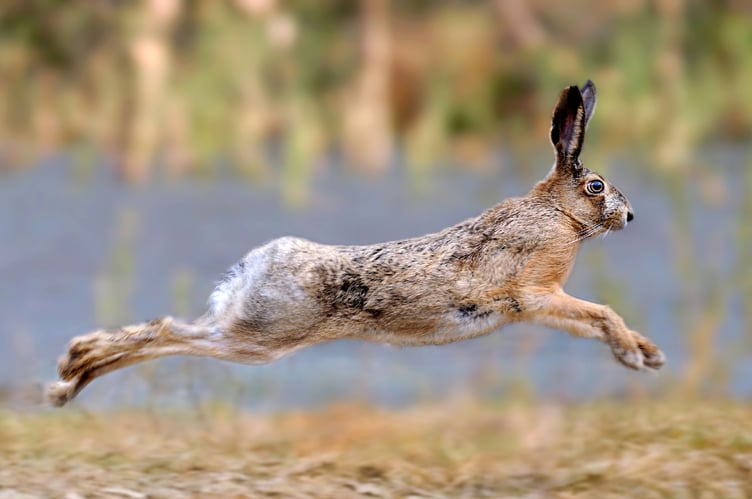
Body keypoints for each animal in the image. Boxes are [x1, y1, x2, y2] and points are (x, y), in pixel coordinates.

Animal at [48, 80, 665, 407]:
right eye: (596, 187)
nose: (632, 215)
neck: (555, 212)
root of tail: (254, 266)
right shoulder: (534, 293)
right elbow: (601, 313)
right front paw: (635, 355)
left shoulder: (539, 306)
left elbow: (593, 320)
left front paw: (648, 353)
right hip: (259, 338)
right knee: (172, 334)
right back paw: (70, 374)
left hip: (252, 332)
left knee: (172, 331)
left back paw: (73, 373)